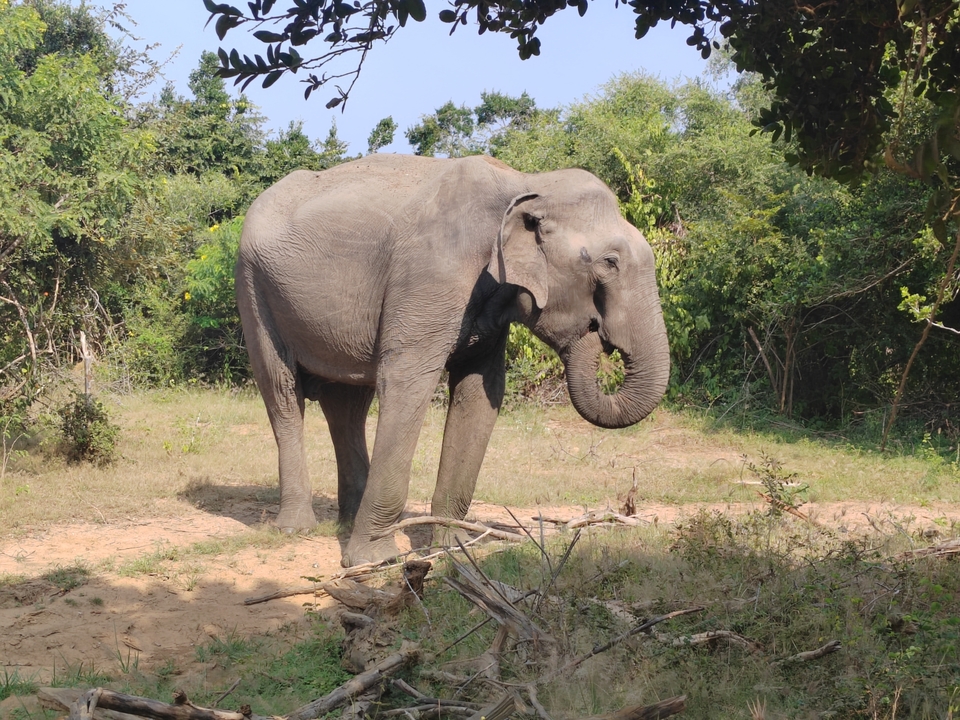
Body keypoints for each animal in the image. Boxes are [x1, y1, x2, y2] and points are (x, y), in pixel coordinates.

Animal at [235, 153, 670, 567]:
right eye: (609, 262)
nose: (597, 331)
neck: (525, 182)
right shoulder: (430, 276)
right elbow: (406, 382)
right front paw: (376, 560)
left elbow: (481, 391)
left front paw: (455, 549)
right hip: (253, 288)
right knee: (283, 394)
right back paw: (296, 528)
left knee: (346, 405)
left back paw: (346, 522)